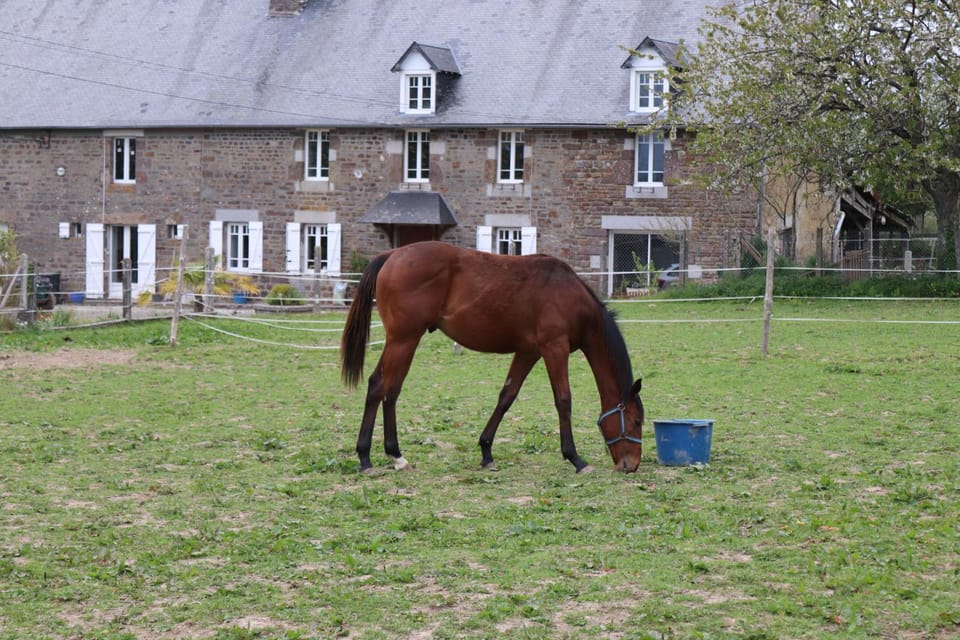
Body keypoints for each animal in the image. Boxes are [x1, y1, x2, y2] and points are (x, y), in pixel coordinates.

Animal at [340, 241, 644, 474]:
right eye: (636, 421)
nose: (631, 465)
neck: (569, 295)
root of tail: (392, 255)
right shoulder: (554, 349)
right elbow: (564, 400)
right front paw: (575, 458)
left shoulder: (529, 352)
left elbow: (507, 396)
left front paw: (486, 451)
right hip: (403, 340)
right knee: (381, 387)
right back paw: (368, 457)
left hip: (404, 342)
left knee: (387, 389)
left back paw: (392, 455)